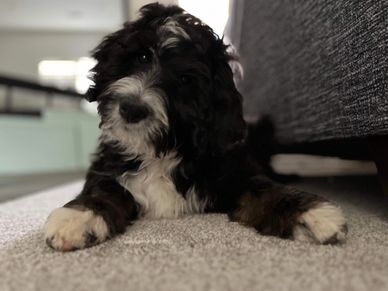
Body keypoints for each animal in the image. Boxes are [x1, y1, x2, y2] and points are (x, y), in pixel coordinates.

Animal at [44, 3, 348, 252]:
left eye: (185, 81)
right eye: (142, 57)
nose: (132, 109)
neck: (161, 152)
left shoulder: (235, 172)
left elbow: (262, 189)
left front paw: (310, 213)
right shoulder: (108, 167)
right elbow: (104, 190)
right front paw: (79, 216)